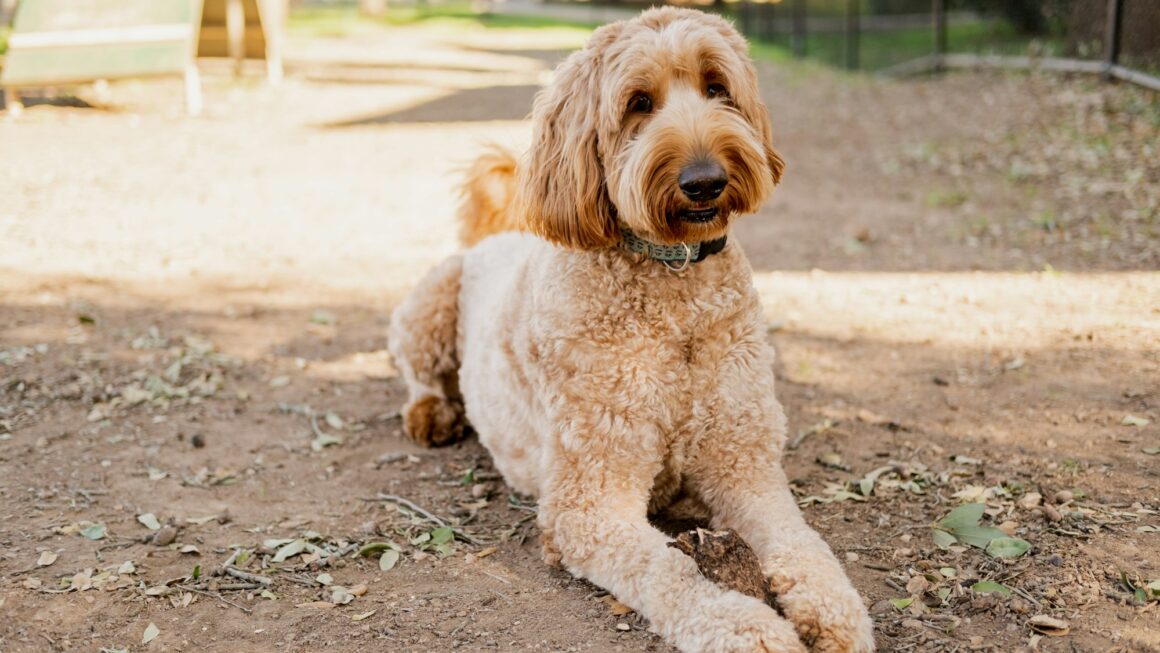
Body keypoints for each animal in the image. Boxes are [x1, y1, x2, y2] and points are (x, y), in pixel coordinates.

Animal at [387, 6, 872, 653]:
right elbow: (671, 570)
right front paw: (746, 629)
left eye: (717, 87)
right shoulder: (591, 503)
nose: (704, 180)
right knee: (416, 370)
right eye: (638, 103)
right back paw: (432, 414)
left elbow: (802, 543)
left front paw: (835, 610)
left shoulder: (745, 469)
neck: (674, 287)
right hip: (431, 300)